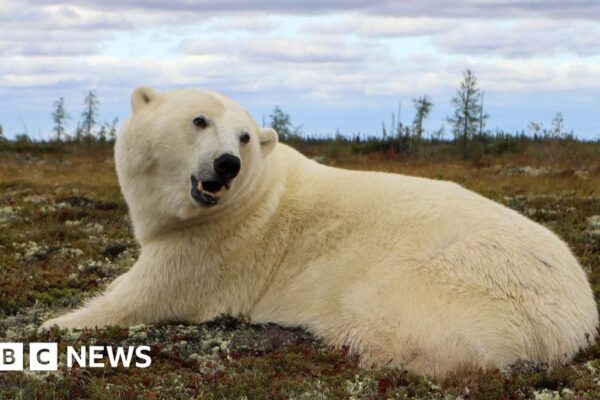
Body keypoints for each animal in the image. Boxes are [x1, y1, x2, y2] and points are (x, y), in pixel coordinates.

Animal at [44, 86, 596, 378]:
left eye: (244, 136)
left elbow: (144, 295)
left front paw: (56, 323)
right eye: (199, 120)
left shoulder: (215, 243)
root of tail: (579, 319)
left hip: (444, 283)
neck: (257, 194)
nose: (227, 164)